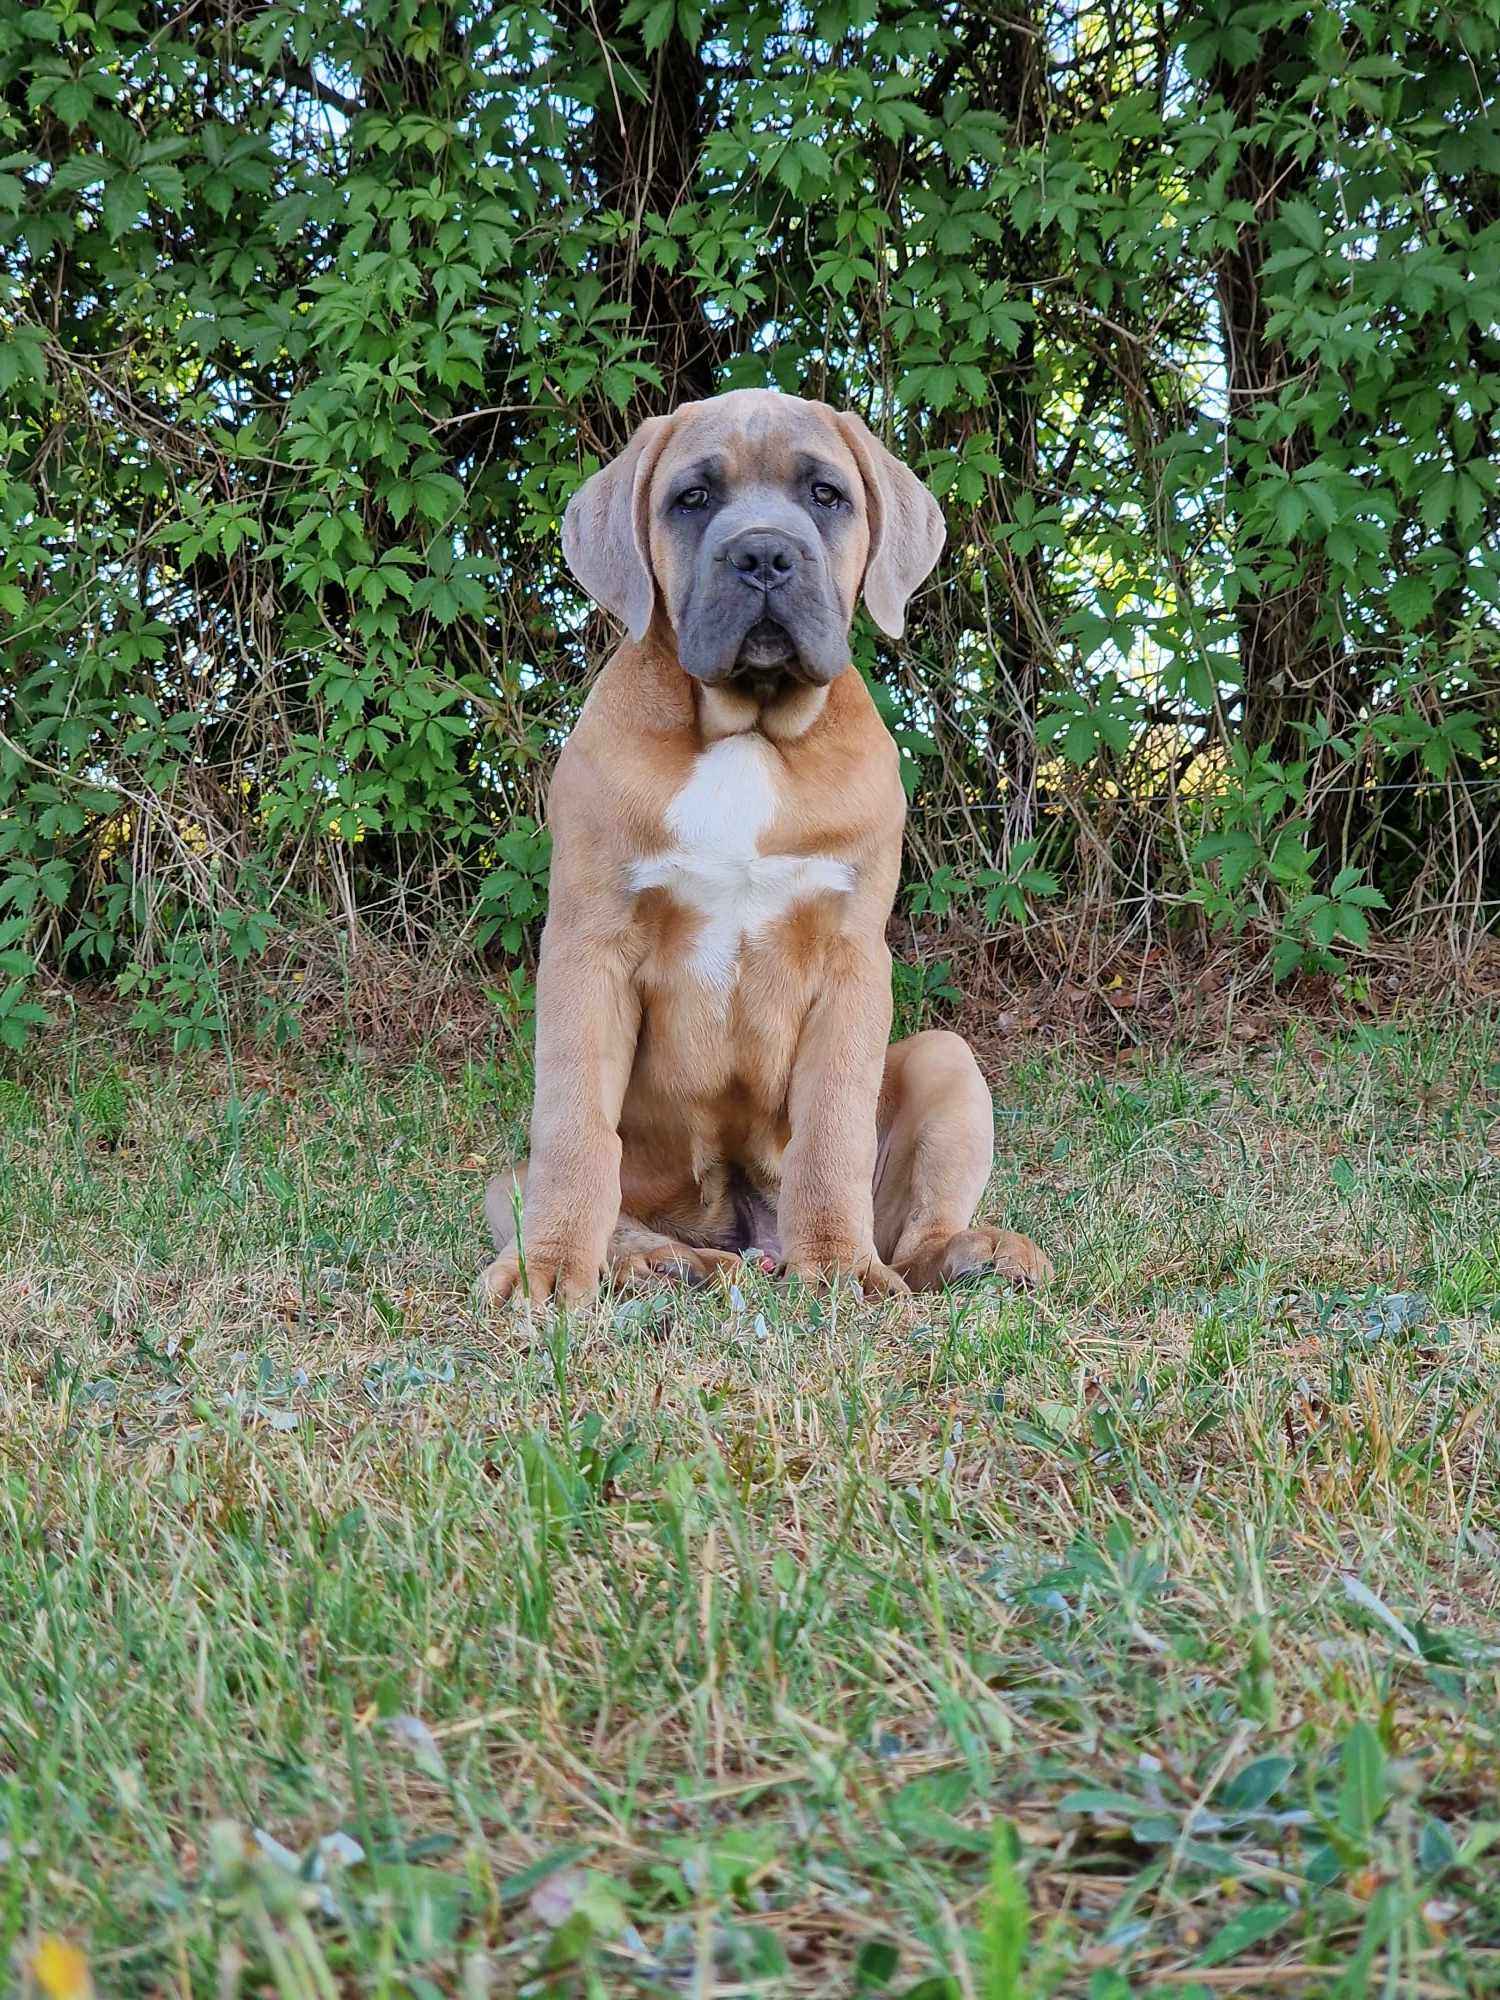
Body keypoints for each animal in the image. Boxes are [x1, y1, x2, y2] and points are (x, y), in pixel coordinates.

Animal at [488, 386, 1048, 1312]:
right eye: (692, 499)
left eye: (827, 496)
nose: (762, 556)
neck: (747, 730)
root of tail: (748, 1236)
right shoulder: (587, 948)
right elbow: (575, 1131)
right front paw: (550, 1268)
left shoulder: (852, 958)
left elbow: (833, 1128)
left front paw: (841, 1264)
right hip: (512, 1179)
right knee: (574, 1187)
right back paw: (657, 1260)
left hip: (947, 1059)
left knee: (914, 1230)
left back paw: (969, 1251)